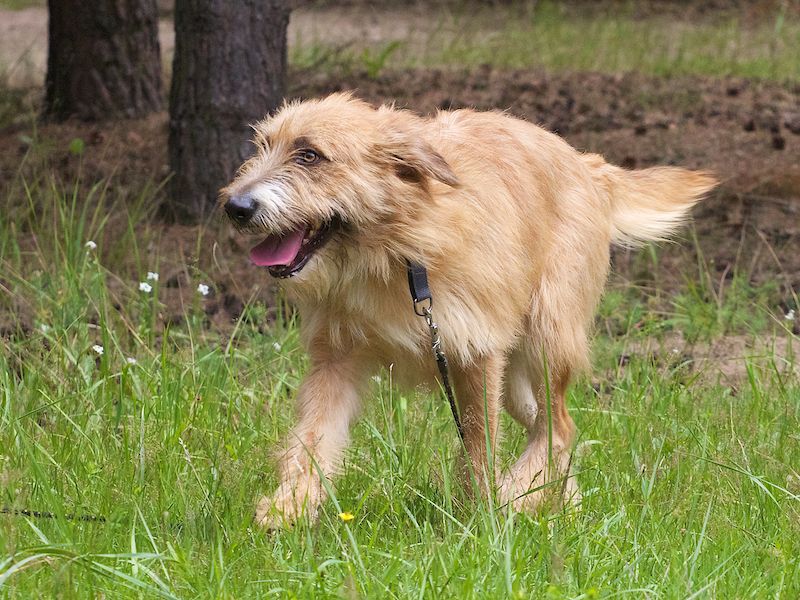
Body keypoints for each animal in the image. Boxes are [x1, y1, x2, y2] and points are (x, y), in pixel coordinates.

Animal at [221, 92, 717, 528]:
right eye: (262, 147)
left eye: (309, 156)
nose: (235, 206)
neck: (394, 249)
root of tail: (584, 164)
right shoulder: (336, 360)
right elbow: (312, 439)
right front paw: (288, 507)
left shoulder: (475, 352)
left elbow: (479, 442)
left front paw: (483, 518)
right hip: (516, 380)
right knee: (552, 427)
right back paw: (560, 503)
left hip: (545, 340)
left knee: (558, 427)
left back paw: (517, 494)